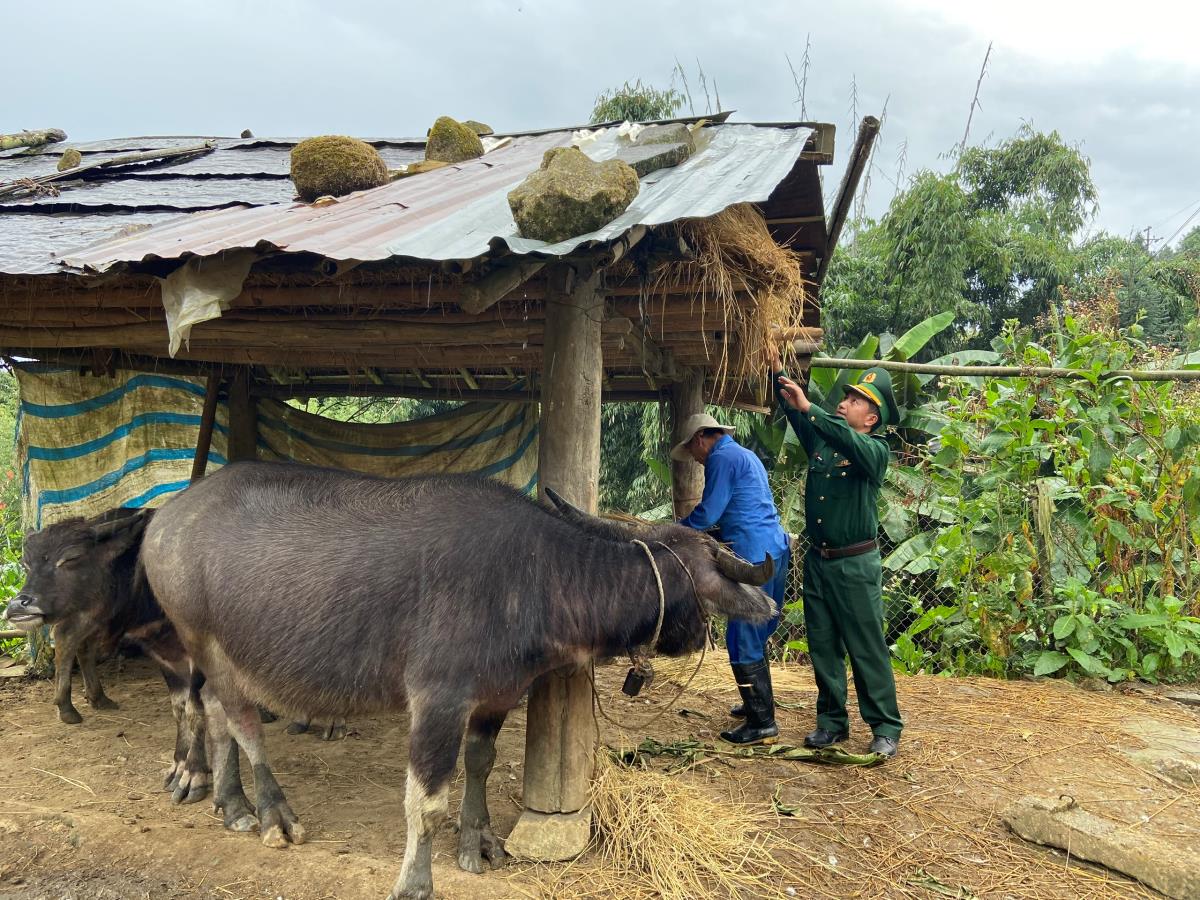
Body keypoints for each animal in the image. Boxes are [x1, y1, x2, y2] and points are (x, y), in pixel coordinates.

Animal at [5, 511, 211, 806]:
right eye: (26, 564)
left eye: (72, 558)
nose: (17, 605)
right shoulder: (164, 655)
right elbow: (181, 707)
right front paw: (182, 767)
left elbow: (194, 708)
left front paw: (193, 772)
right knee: (70, 639)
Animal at [142, 465, 777, 900]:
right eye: (708, 584)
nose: (697, 637)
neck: (535, 574)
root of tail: (163, 521)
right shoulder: (437, 700)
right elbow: (426, 803)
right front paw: (415, 882)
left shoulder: (497, 696)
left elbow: (480, 763)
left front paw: (479, 840)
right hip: (206, 642)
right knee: (244, 724)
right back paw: (274, 814)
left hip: (214, 655)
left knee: (216, 713)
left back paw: (232, 803)